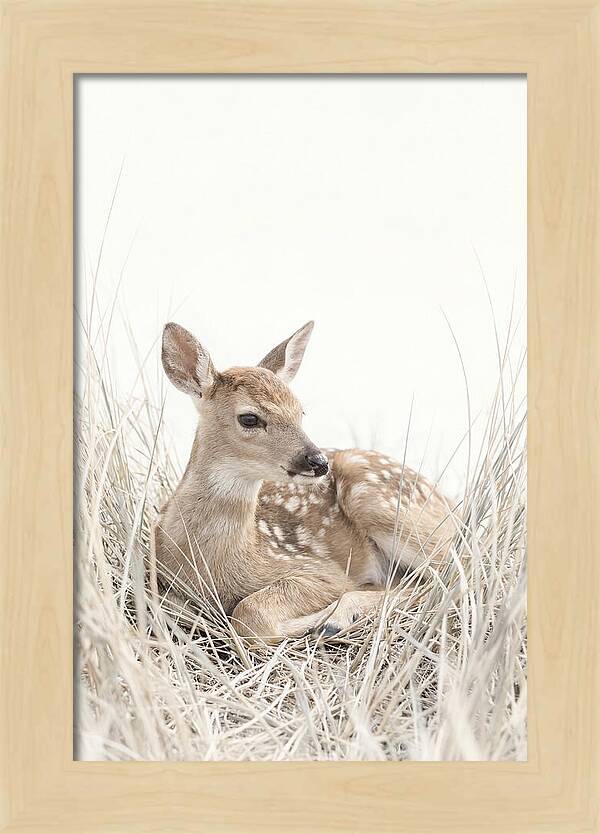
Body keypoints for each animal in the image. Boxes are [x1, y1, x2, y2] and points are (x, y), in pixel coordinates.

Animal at [154, 320, 455, 644]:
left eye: (300, 412)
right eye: (249, 418)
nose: (318, 461)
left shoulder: (320, 569)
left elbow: (250, 614)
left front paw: (314, 621)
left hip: (376, 500)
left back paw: (336, 619)